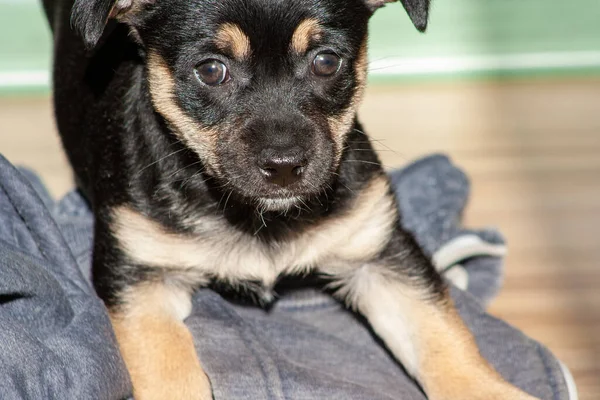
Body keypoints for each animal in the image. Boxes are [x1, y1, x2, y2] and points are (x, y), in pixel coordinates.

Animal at [41, 0, 540, 396]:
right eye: (210, 71)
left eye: (326, 61)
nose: (284, 166)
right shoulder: (141, 283)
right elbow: (168, 371)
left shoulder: (379, 255)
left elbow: (442, 338)